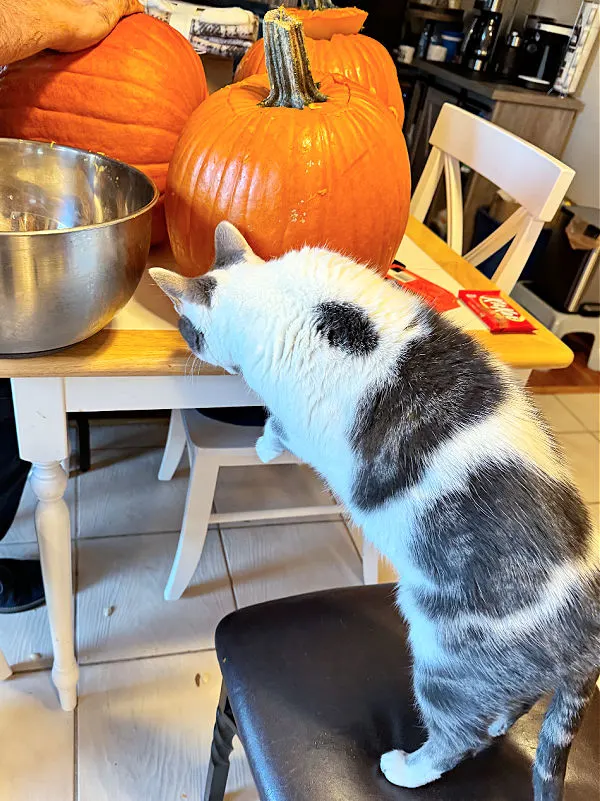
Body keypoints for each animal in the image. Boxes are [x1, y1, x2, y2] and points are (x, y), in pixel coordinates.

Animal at [154, 222, 600, 800]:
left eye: (186, 328)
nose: (182, 340)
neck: (272, 289)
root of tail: (587, 638)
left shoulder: (294, 413)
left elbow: (277, 426)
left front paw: (264, 446)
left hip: (445, 665)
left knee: (460, 738)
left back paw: (405, 769)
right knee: (503, 711)